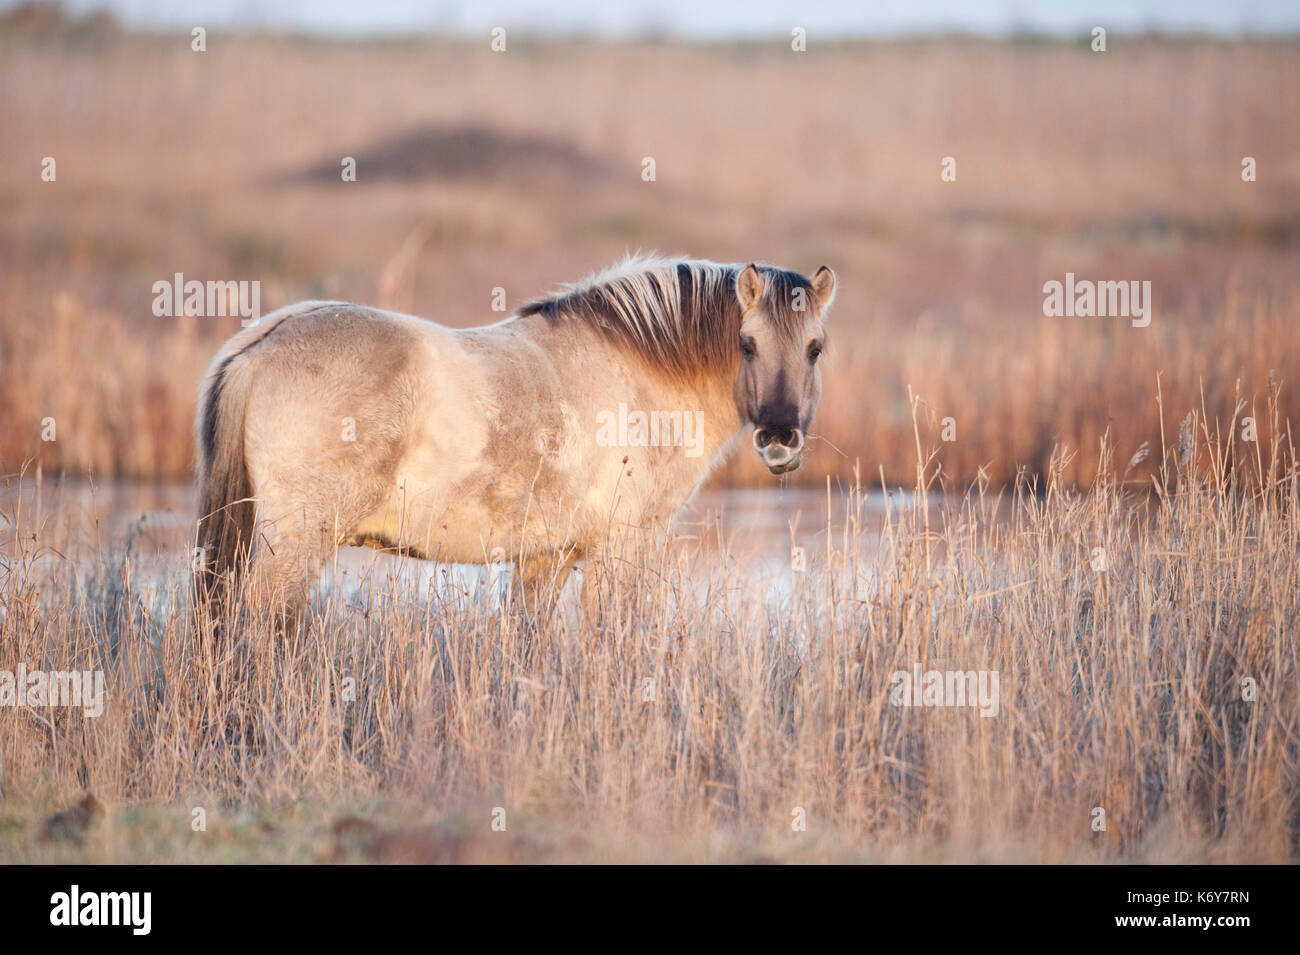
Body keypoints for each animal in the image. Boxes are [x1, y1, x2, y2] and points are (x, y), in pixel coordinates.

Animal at [196, 254, 837, 623]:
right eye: (747, 344)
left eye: (815, 349)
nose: (780, 439)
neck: (638, 370)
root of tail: (261, 346)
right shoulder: (620, 549)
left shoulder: (546, 559)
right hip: (296, 545)